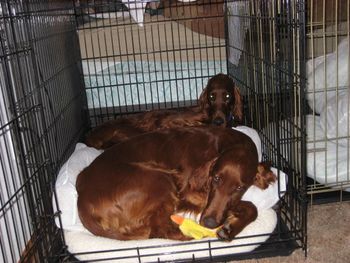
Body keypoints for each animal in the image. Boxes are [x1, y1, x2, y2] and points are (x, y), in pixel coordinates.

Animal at [77, 127, 276, 242]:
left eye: (240, 188)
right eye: (216, 178)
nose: (209, 223)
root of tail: (82, 202)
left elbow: (246, 206)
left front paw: (229, 228)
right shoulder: (188, 191)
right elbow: (250, 206)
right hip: (159, 179)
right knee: (158, 230)